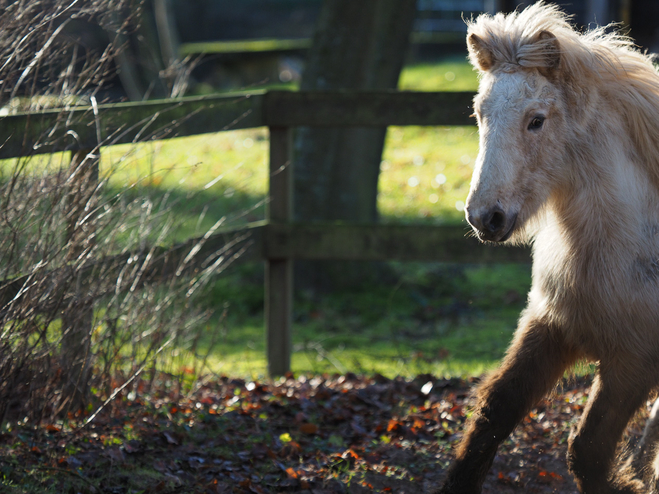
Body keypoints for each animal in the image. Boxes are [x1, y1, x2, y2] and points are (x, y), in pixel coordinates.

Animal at [438, 3, 659, 494]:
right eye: (479, 113)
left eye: (536, 119)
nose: (484, 217)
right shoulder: (550, 328)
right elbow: (492, 415)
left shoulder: (632, 360)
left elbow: (588, 450)